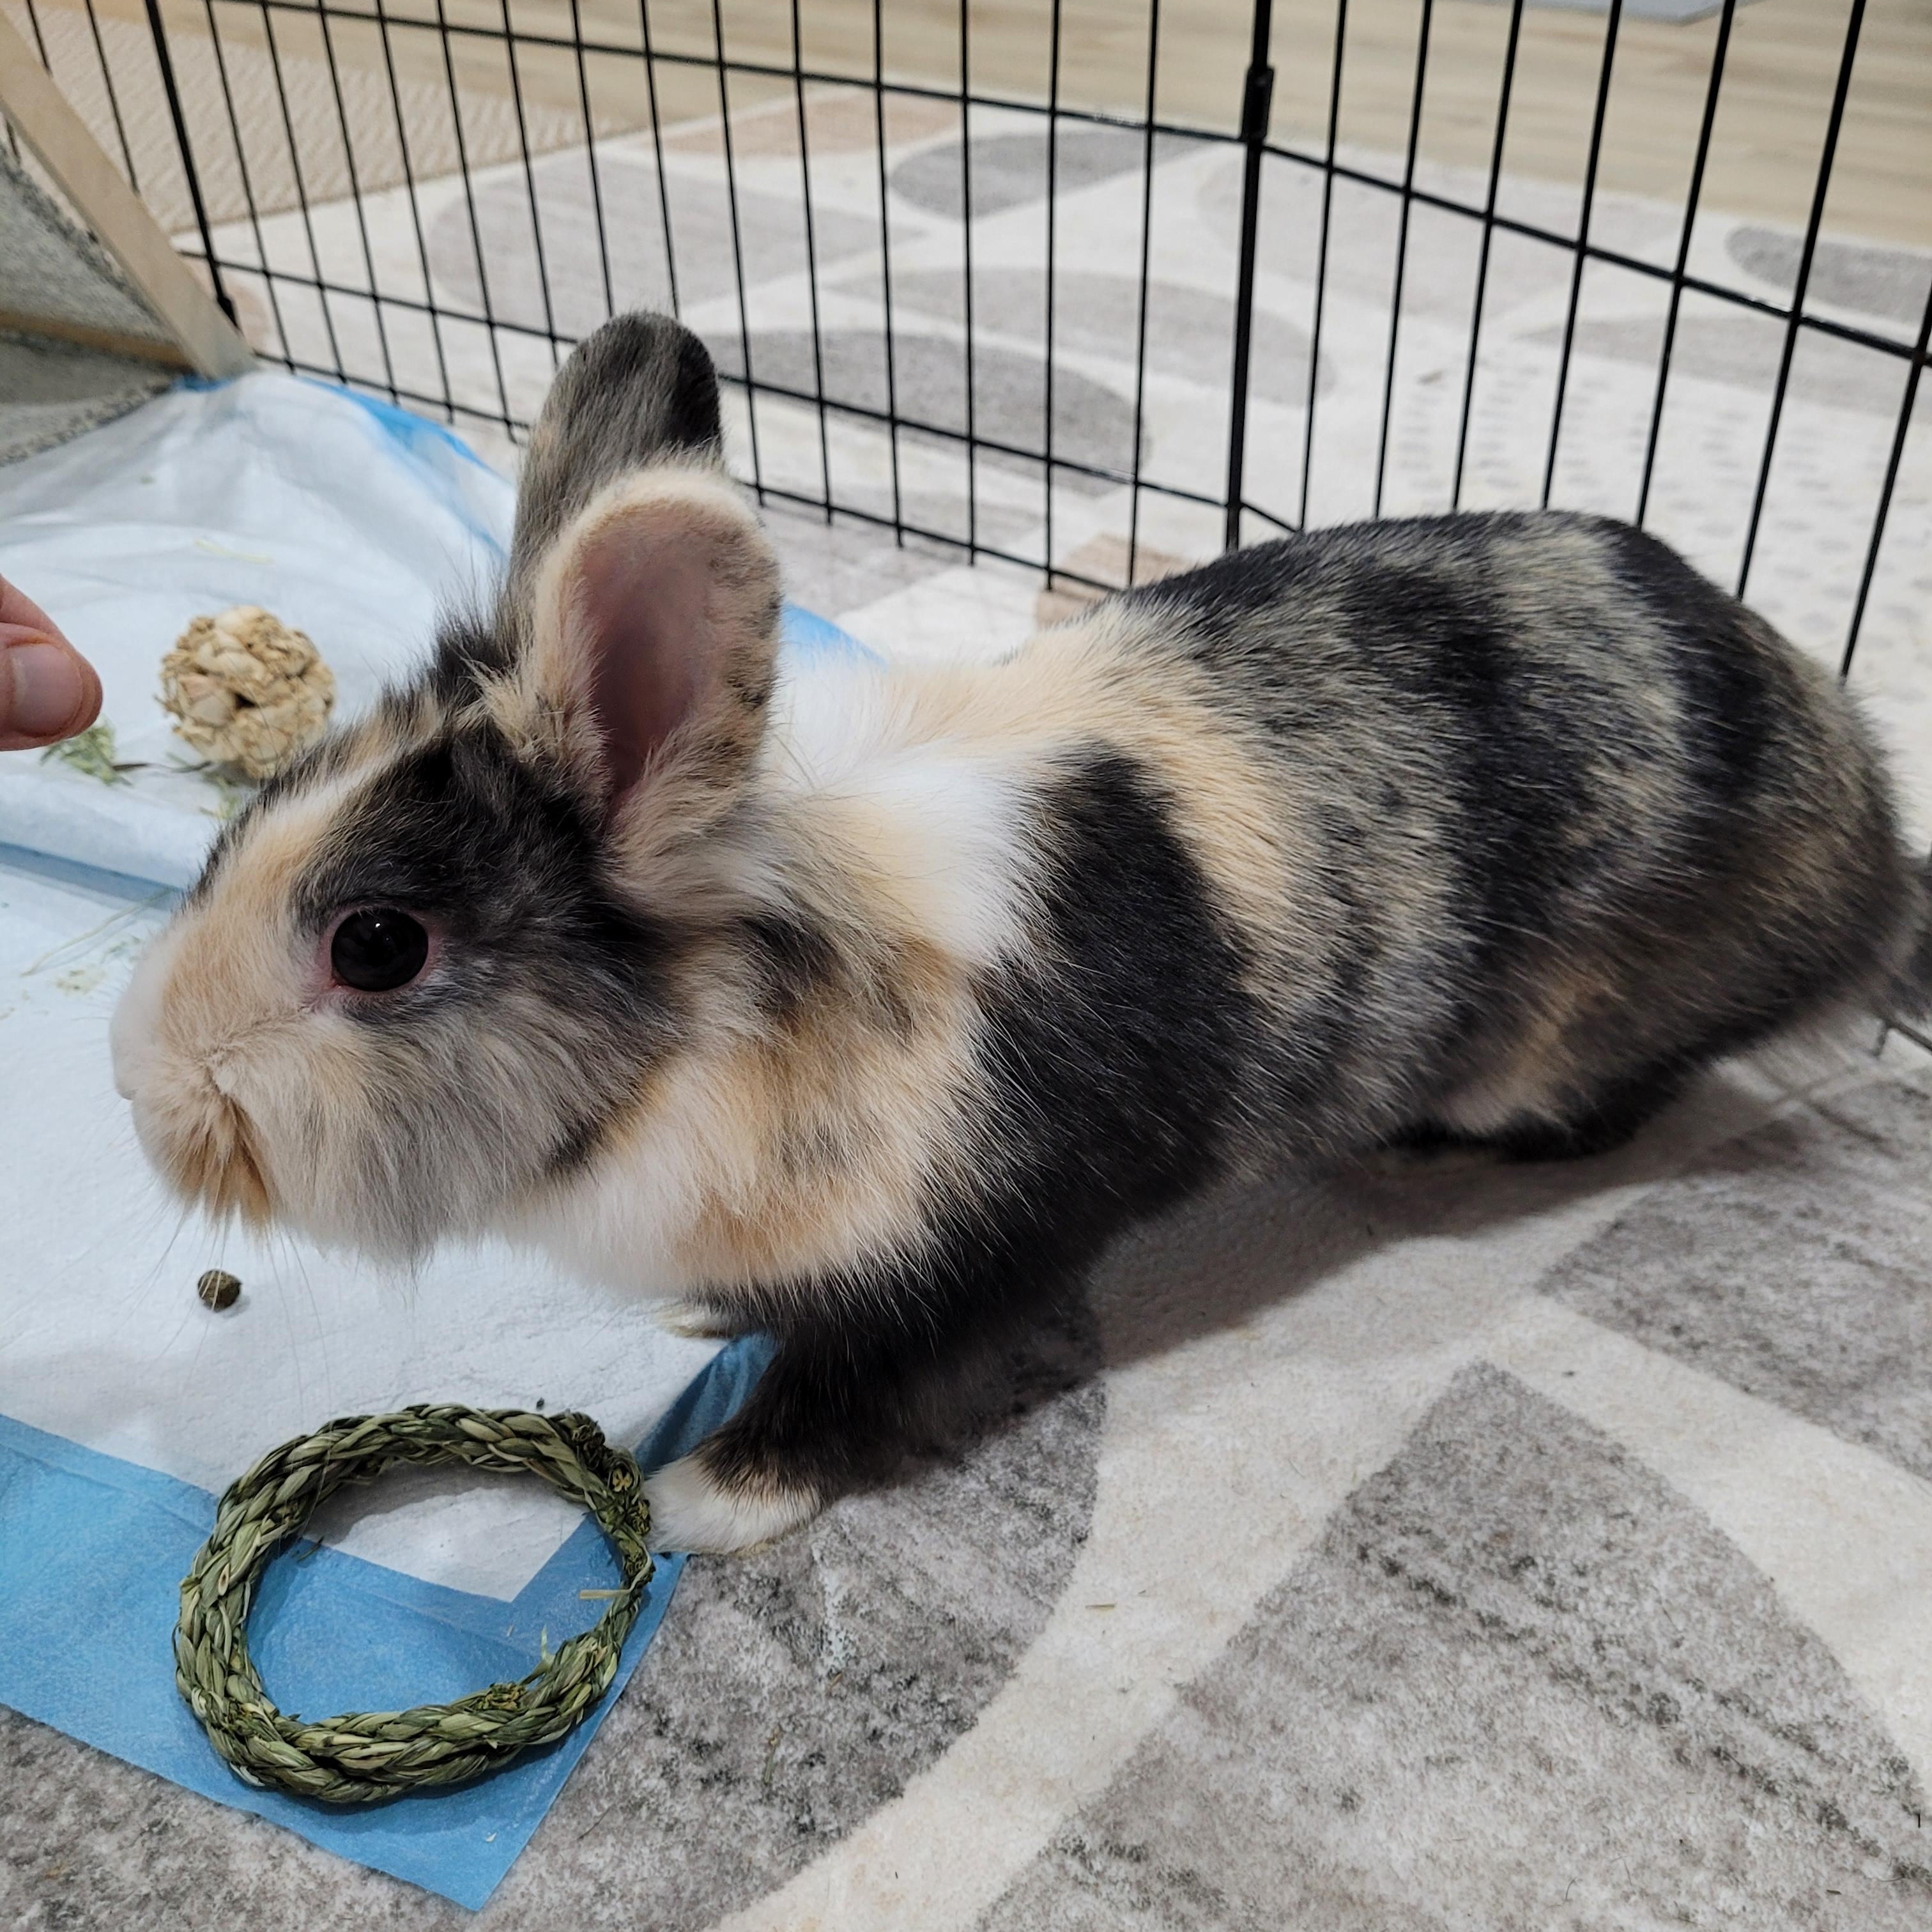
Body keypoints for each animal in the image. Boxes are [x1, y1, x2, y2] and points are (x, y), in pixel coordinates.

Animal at [111, 312, 1930, 1554]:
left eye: (377, 945)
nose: (144, 1091)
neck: (728, 1017)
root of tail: (1866, 824)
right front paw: (703, 1326)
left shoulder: (963, 1260)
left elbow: (862, 1394)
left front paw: (710, 1497)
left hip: (1587, 1027)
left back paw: (1439, 1154)